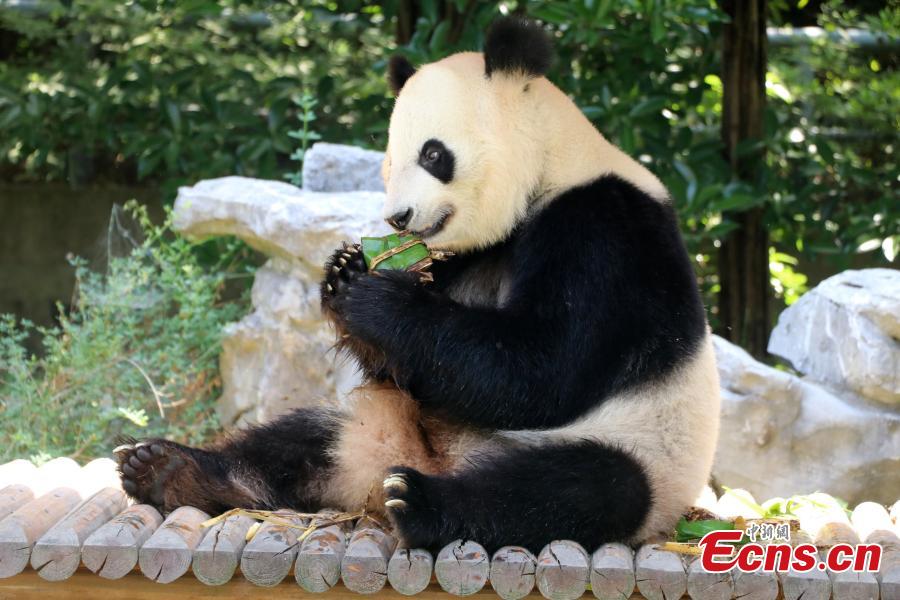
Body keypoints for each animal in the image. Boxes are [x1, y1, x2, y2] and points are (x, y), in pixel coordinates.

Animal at [115, 17, 720, 552]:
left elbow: (544, 367)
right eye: (387, 161)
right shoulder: (468, 257)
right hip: (377, 425)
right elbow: (411, 366)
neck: (549, 168)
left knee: (581, 488)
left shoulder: (605, 233)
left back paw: (421, 505)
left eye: (433, 154)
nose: (398, 217)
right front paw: (345, 272)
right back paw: (172, 471)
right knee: (307, 437)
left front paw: (381, 301)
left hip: (643, 453)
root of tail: (439, 460)